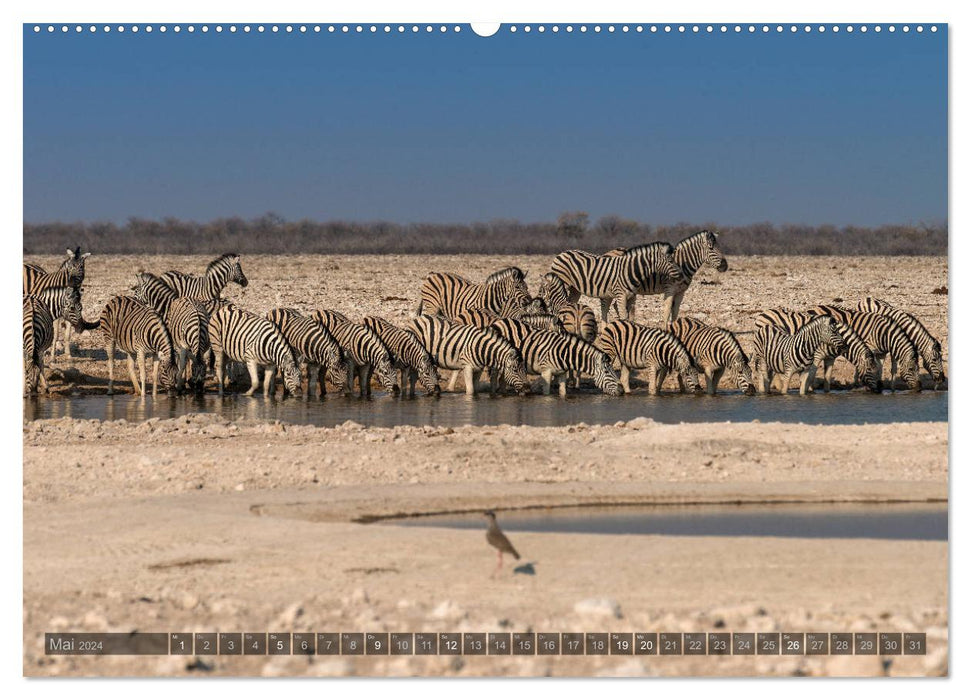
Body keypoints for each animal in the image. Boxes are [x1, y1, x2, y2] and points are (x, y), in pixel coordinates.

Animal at [486, 318, 624, 396]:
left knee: (503, 378)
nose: (621, 391)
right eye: (607, 372)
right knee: (494, 377)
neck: (565, 353)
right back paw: (493, 395)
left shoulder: (562, 373)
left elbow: (563, 393)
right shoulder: (546, 372)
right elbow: (546, 394)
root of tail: (498, 322)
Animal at [552, 242, 688, 322]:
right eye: (670, 261)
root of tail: (562, 253)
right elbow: (624, 317)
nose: (682, 274)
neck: (631, 270)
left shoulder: (632, 296)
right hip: (561, 284)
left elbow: (631, 317)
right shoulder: (620, 295)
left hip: (575, 289)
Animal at [756, 308, 884, 394]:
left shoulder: (830, 358)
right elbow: (811, 376)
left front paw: (825, 393)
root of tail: (762, 313)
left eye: (877, 370)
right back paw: (769, 388)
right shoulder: (817, 355)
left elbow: (827, 379)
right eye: (869, 369)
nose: (879, 390)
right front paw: (809, 391)